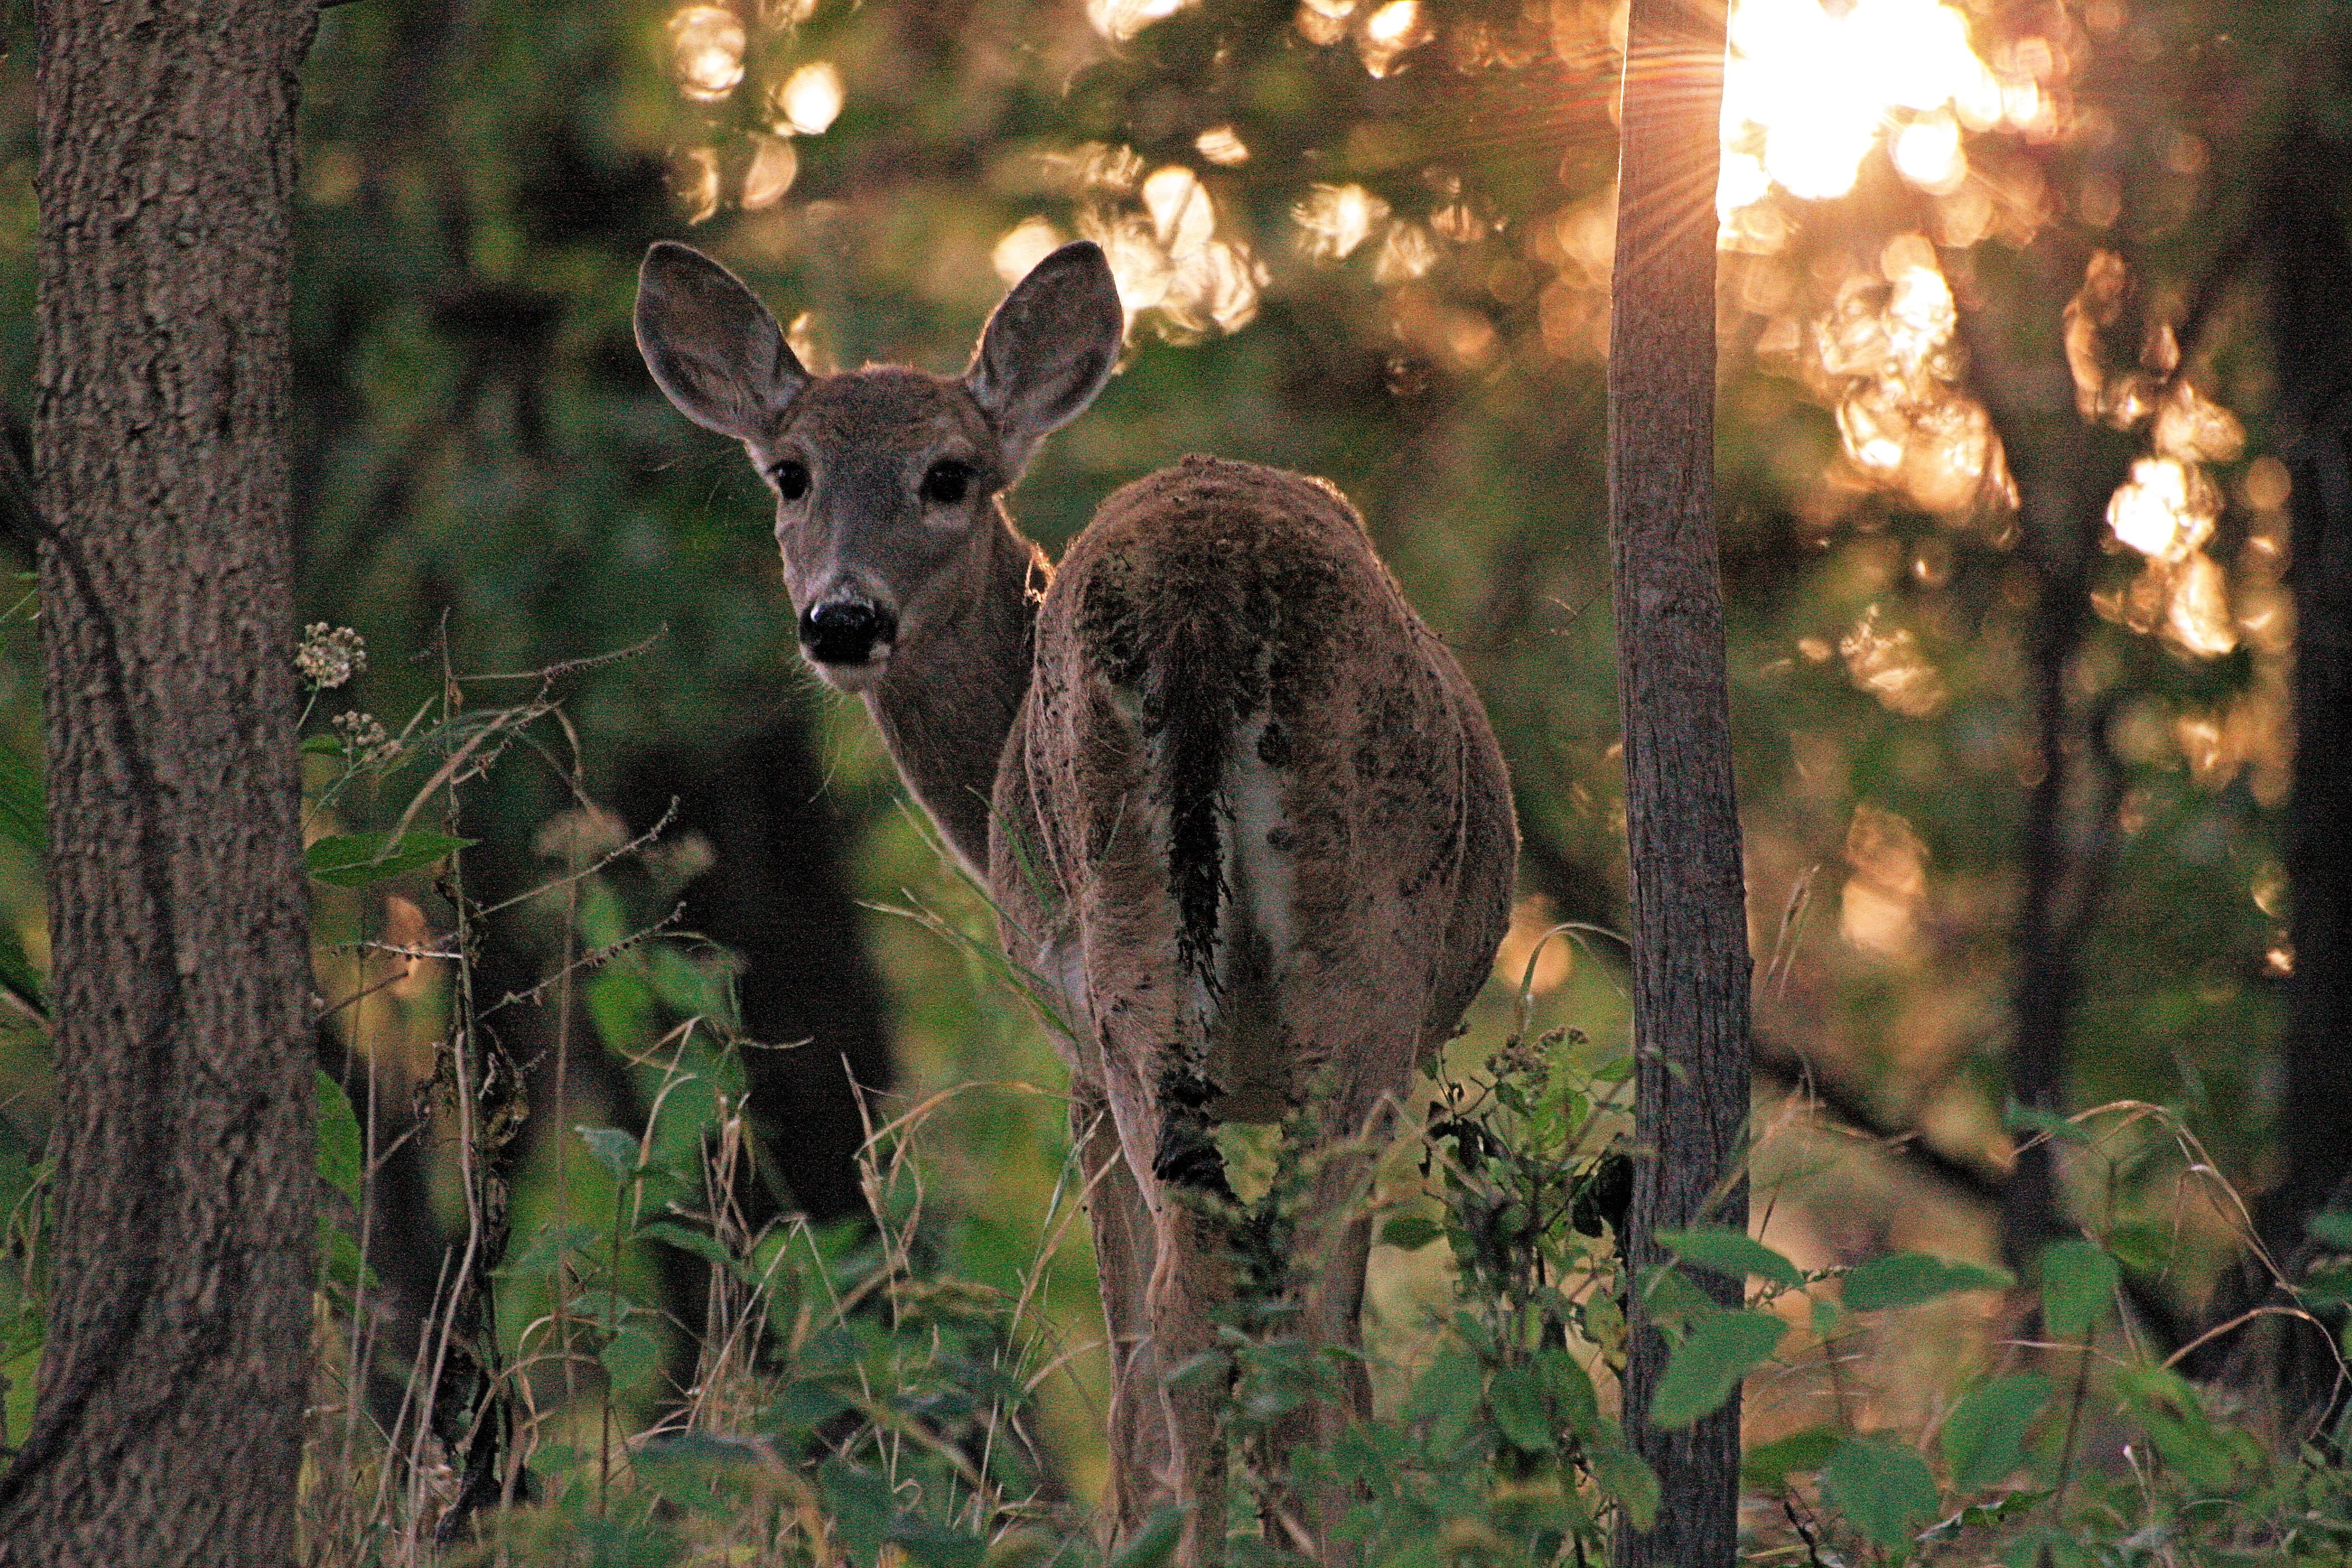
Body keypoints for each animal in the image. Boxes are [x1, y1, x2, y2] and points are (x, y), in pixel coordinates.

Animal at [635, 236, 1517, 1565]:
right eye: (790, 473)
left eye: (948, 474)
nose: (842, 616)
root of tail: (1202, 600)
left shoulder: (1075, 1049)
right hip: (1309, 963)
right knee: (1248, 1301)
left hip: (1164, 967)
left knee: (1214, 1302)